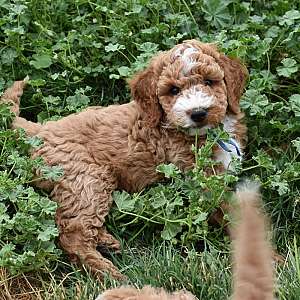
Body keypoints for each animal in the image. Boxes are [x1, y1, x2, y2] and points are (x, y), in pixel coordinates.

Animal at [1, 39, 247, 278]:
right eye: (174, 90)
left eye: (209, 81)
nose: (198, 113)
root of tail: (40, 131)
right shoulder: (201, 179)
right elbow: (228, 209)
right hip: (87, 179)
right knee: (73, 234)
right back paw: (109, 273)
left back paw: (106, 242)